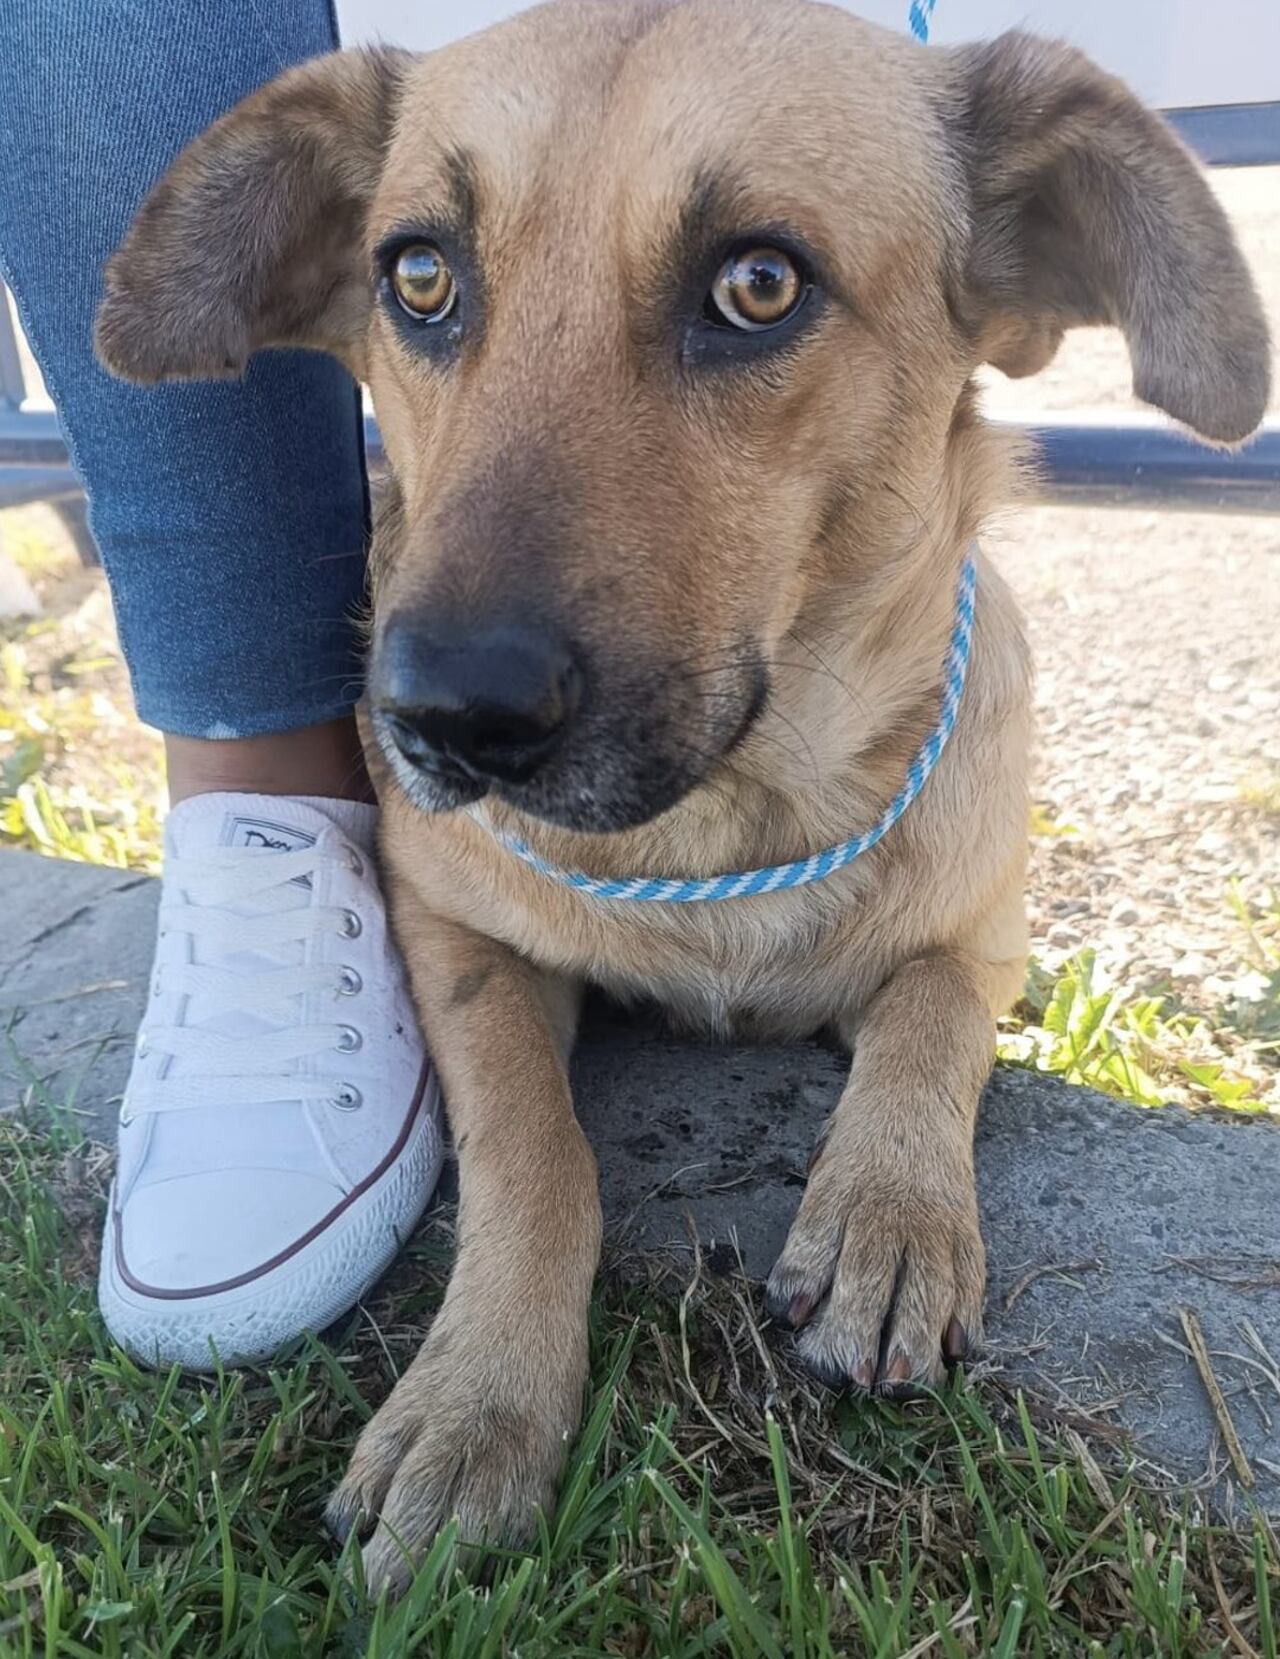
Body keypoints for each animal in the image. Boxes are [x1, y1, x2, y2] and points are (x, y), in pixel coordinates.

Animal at [92, 0, 1266, 1592]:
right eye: (418, 276)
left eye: (758, 284)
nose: (439, 718)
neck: (723, 822)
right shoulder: (455, 939)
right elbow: (535, 1151)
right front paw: (477, 1402)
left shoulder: (983, 936)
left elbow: (926, 1021)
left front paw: (889, 1215)